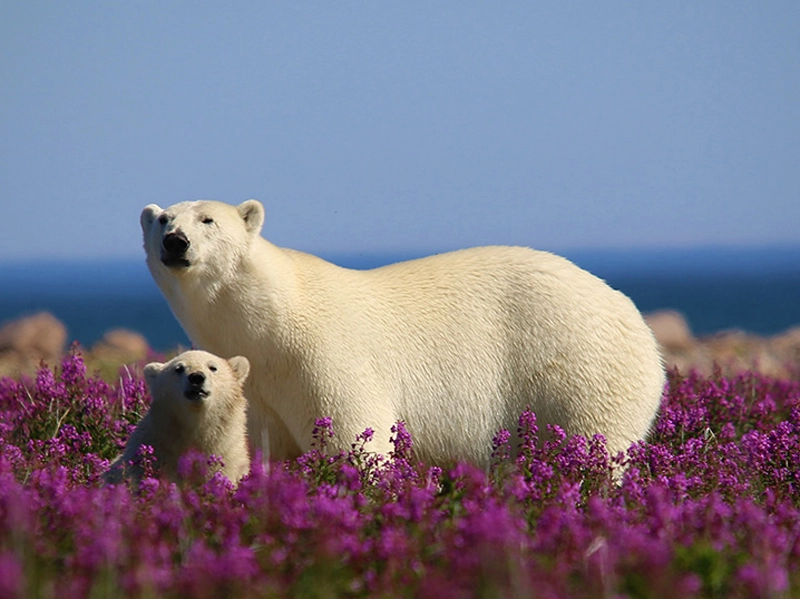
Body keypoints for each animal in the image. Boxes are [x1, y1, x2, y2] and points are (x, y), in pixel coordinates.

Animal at [141, 199, 664, 466]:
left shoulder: (324, 358)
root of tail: (633, 315)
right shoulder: (258, 388)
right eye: (163, 220)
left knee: (593, 445)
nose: (175, 242)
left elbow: (354, 438)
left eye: (208, 219)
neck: (269, 324)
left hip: (578, 369)